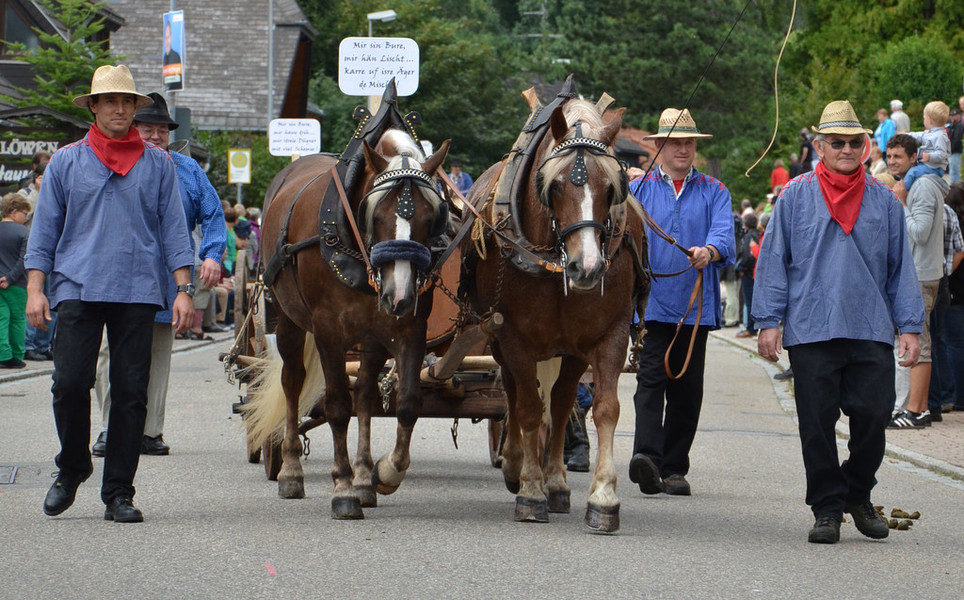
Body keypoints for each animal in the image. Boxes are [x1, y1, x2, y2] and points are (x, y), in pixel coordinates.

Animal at [247, 128, 450, 519]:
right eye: (377, 215)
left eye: (430, 216)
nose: (398, 296)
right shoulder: (328, 330)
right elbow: (338, 405)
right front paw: (342, 489)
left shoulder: (409, 330)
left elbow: (407, 404)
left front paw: (384, 473)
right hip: (288, 319)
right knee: (292, 381)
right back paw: (291, 471)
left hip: (371, 339)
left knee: (366, 394)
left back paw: (364, 478)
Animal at [462, 92, 648, 533]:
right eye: (555, 185)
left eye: (612, 187)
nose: (588, 267)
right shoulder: (512, 336)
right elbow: (529, 408)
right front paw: (530, 490)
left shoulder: (608, 336)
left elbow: (605, 408)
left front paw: (603, 497)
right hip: (500, 342)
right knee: (514, 393)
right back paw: (516, 466)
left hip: (572, 350)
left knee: (563, 404)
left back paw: (558, 484)